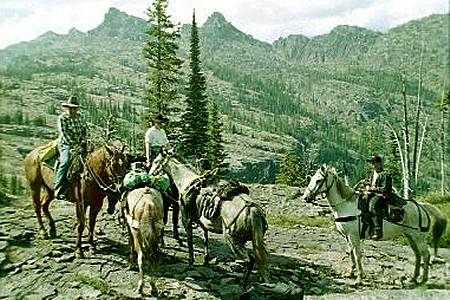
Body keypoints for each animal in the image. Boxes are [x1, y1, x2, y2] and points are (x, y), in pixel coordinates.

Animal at [302, 165, 446, 284]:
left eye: (318, 180)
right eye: (312, 179)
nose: (305, 198)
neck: (345, 205)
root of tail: (421, 206)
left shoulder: (354, 236)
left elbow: (357, 255)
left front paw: (359, 279)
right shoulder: (347, 237)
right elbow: (351, 254)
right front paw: (350, 273)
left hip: (418, 237)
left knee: (426, 255)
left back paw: (423, 279)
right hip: (410, 236)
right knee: (418, 255)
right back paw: (414, 278)